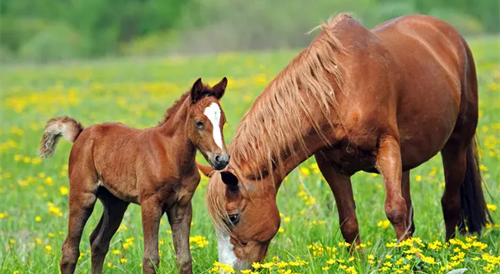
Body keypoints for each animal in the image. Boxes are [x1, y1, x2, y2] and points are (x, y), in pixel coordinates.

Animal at [39, 77, 230, 274]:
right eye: (199, 122)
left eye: (223, 122)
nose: (221, 159)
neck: (170, 155)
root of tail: (81, 134)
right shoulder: (150, 203)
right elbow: (150, 259)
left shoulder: (182, 206)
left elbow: (184, 259)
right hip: (83, 195)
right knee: (70, 250)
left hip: (115, 203)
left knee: (98, 242)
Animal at [199, 14, 492, 270]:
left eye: (233, 217)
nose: (229, 270)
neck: (341, 90)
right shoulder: (331, 165)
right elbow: (349, 221)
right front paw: (360, 264)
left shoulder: (386, 147)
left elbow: (394, 210)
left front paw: (413, 264)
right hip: (407, 160)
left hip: (456, 144)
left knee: (449, 201)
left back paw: (450, 250)